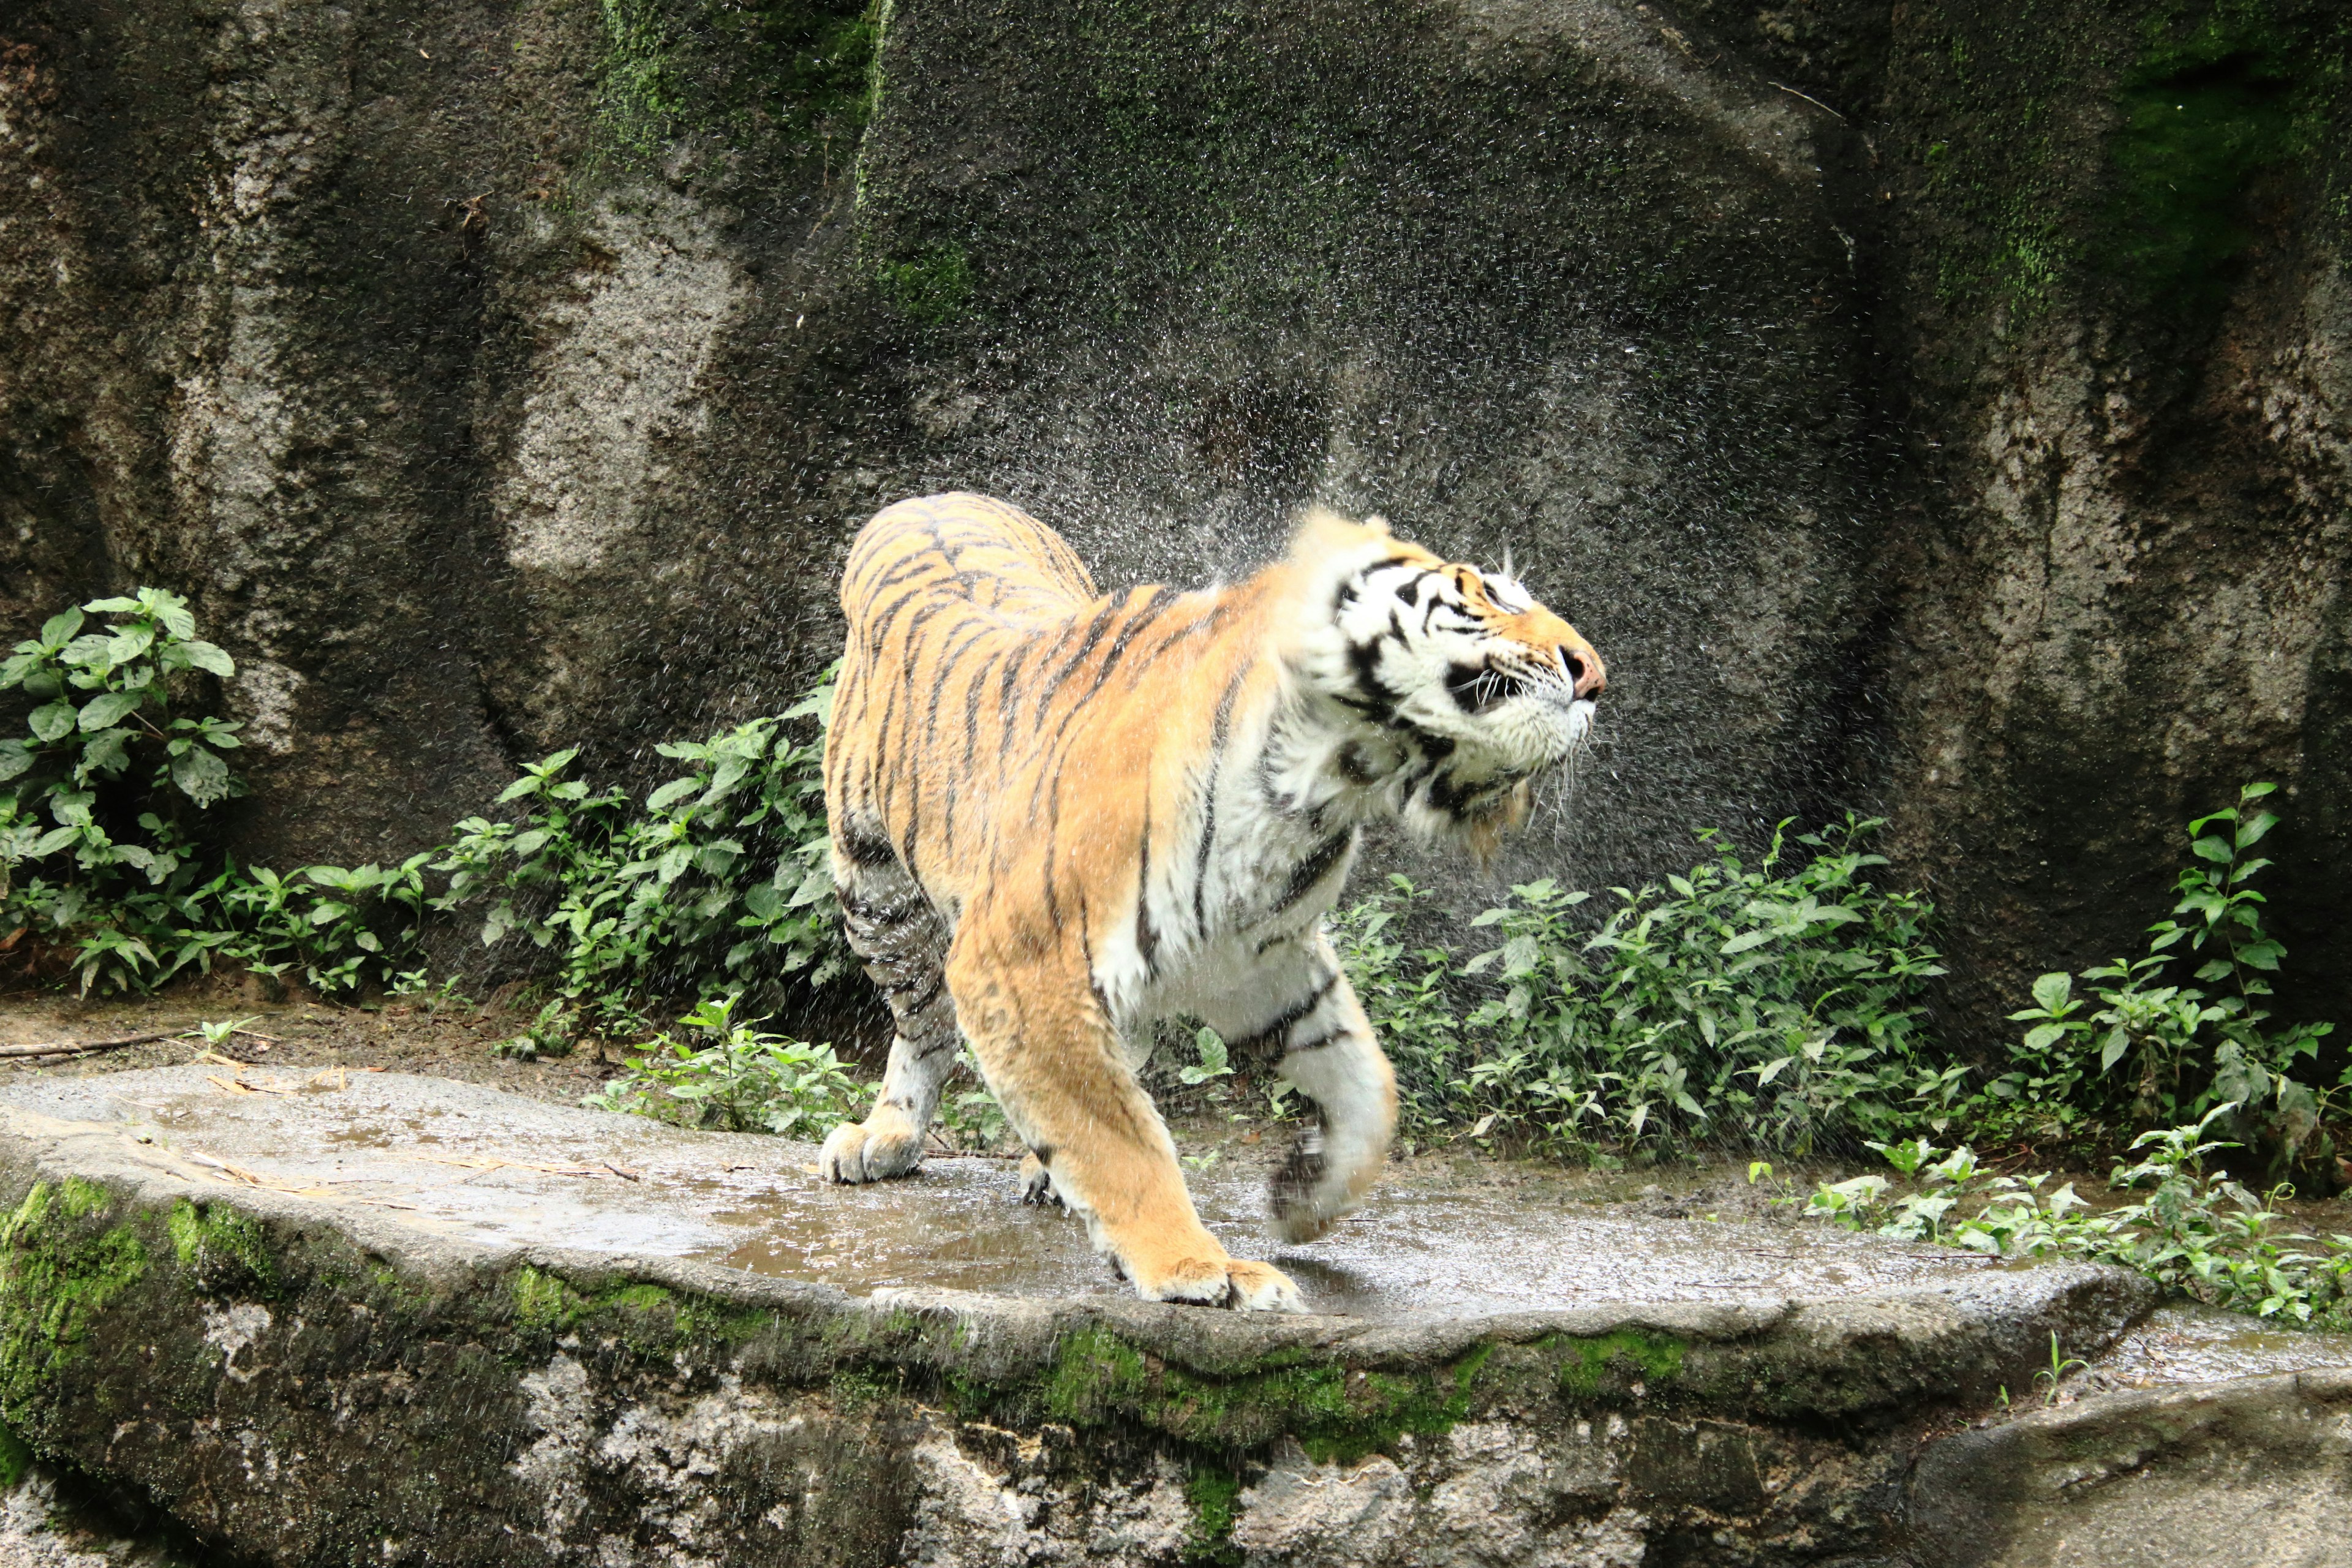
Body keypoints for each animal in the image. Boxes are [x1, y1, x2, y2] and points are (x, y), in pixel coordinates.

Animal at [818, 491, 1608, 1316]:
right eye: (1492, 594)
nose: (1596, 676)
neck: (1334, 777)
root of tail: (932, 499)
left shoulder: (1260, 957)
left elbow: (1368, 1085)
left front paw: (1303, 1198)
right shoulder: (1019, 962)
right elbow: (1119, 1137)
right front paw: (1198, 1265)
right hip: (877, 895)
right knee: (926, 1023)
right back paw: (886, 1136)